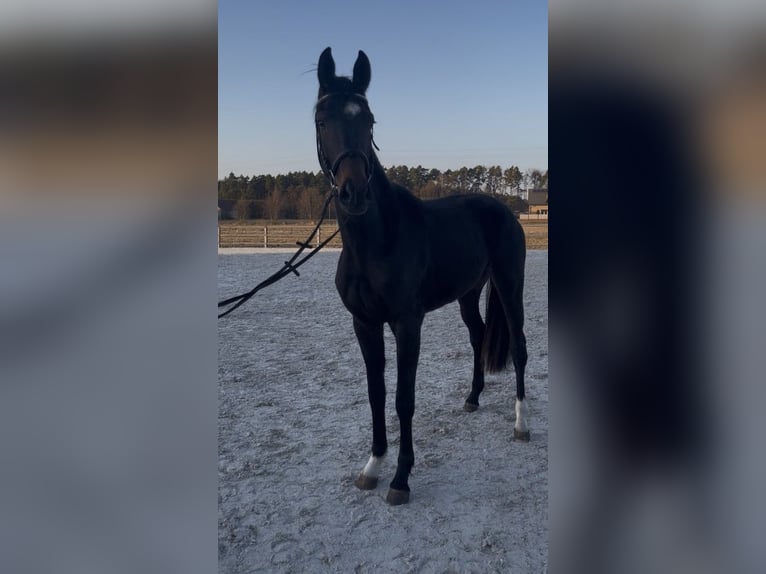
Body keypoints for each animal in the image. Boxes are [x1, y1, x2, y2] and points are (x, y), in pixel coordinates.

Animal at [315, 47, 529, 505]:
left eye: (370, 120)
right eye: (322, 120)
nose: (354, 193)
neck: (376, 241)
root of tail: (503, 209)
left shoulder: (407, 324)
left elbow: (403, 399)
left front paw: (400, 478)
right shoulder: (364, 324)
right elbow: (376, 394)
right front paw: (372, 467)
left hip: (509, 285)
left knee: (520, 348)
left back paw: (522, 424)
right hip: (468, 294)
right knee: (478, 336)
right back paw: (472, 399)